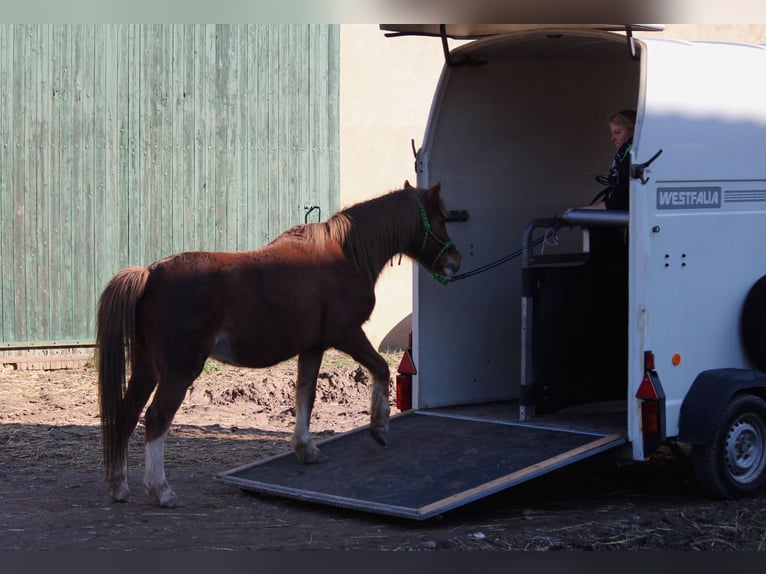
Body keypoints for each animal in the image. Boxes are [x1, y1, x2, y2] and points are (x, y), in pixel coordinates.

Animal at [96, 180, 462, 507]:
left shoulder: (313, 347)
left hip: (147, 368)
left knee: (126, 414)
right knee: (156, 418)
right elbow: (381, 368)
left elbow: (305, 395)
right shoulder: (347, 335)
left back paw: (119, 486)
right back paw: (161, 490)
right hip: (179, 371)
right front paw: (379, 427)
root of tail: (150, 274)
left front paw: (306, 449)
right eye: (441, 220)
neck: (347, 254)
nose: (455, 262)